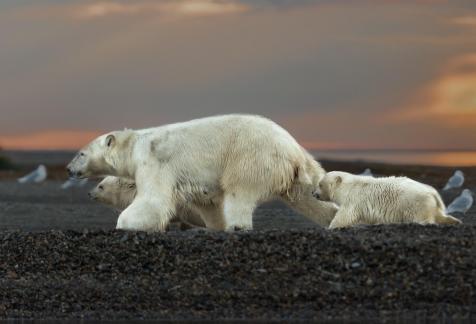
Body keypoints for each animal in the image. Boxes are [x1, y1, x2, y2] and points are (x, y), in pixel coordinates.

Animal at [67, 114, 336, 230]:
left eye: (81, 153)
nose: (69, 169)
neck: (134, 145)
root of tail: (292, 148)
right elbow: (207, 203)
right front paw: (214, 225)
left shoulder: (153, 160)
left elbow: (154, 199)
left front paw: (126, 222)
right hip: (301, 171)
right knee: (309, 195)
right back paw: (335, 221)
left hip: (250, 157)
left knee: (239, 193)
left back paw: (237, 226)